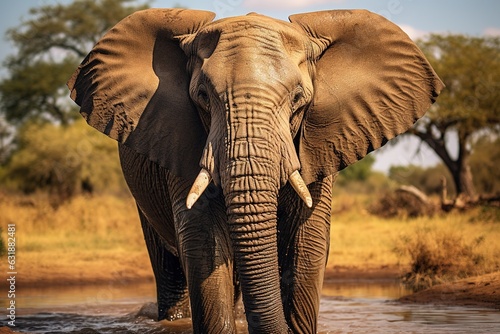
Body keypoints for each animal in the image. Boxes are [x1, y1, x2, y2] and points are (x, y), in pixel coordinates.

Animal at [65, 7, 442, 334]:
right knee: (170, 270)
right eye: (202, 96)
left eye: (298, 99)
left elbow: (307, 244)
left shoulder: (319, 143)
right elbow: (203, 240)